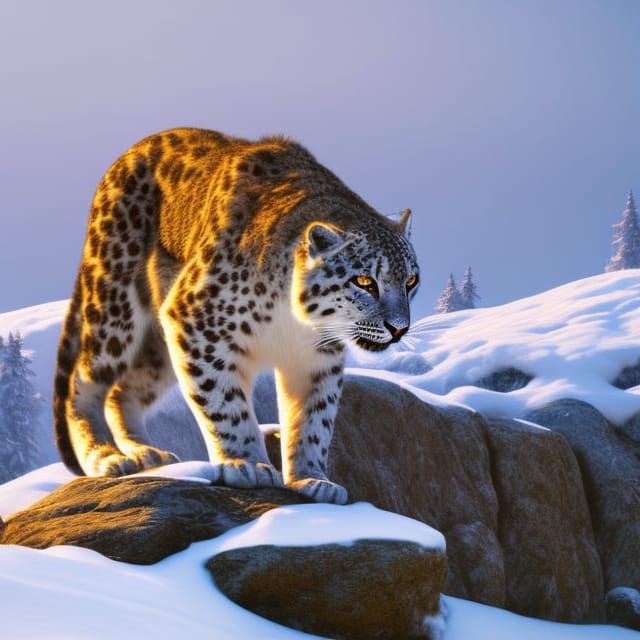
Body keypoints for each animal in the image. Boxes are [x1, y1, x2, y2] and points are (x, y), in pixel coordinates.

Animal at [53, 128, 420, 504]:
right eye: (364, 282)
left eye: (411, 280)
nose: (399, 328)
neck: (291, 323)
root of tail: (126, 156)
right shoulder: (198, 322)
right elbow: (224, 400)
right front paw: (247, 464)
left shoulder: (318, 358)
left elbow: (315, 417)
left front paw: (312, 479)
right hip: (117, 308)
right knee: (83, 379)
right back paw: (106, 457)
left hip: (159, 349)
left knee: (123, 390)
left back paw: (146, 453)